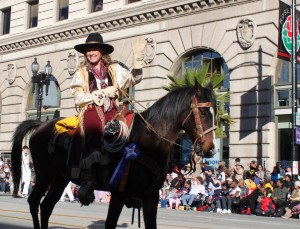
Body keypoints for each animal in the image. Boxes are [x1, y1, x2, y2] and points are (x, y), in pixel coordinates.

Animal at [11, 81, 216, 228]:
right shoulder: (119, 193)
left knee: (46, 207)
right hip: (44, 175)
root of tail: (41, 124)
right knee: (34, 202)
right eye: (204, 112)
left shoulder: (151, 197)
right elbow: (110, 224)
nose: (210, 149)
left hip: (60, 178)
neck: (146, 140)